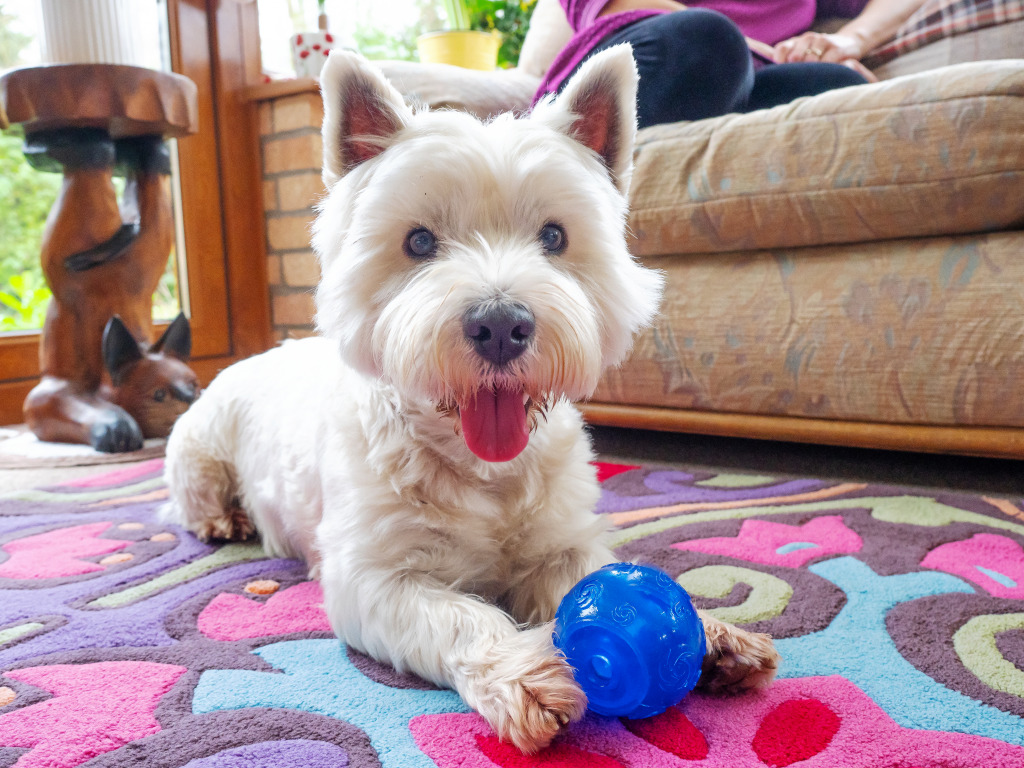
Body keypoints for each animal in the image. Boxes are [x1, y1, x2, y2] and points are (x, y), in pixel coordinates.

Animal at [163, 46, 778, 753]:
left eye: (555, 236)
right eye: (418, 242)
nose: (501, 325)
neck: (483, 469)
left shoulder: (560, 541)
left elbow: (591, 571)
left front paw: (713, 636)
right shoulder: (374, 580)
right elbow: (460, 615)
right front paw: (524, 674)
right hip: (199, 453)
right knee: (197, 498)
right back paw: (224, 520)